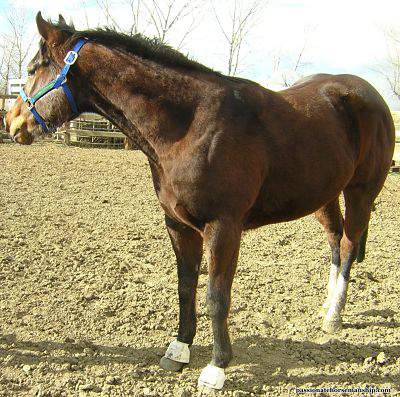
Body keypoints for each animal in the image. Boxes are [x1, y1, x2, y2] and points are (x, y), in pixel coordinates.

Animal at [5, 12, 394, 392]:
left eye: (32, 69)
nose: (12, 121)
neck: (191, 125)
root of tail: (368, 94)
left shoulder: (223, 227)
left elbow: (216, 297)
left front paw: (216, 368)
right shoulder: (178, 225)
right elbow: (185, 287)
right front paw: (179, 350)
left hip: (361, 192)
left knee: (348, 246)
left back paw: (334, 317)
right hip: (324, 195)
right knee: (335, 241)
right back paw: (327, 307)